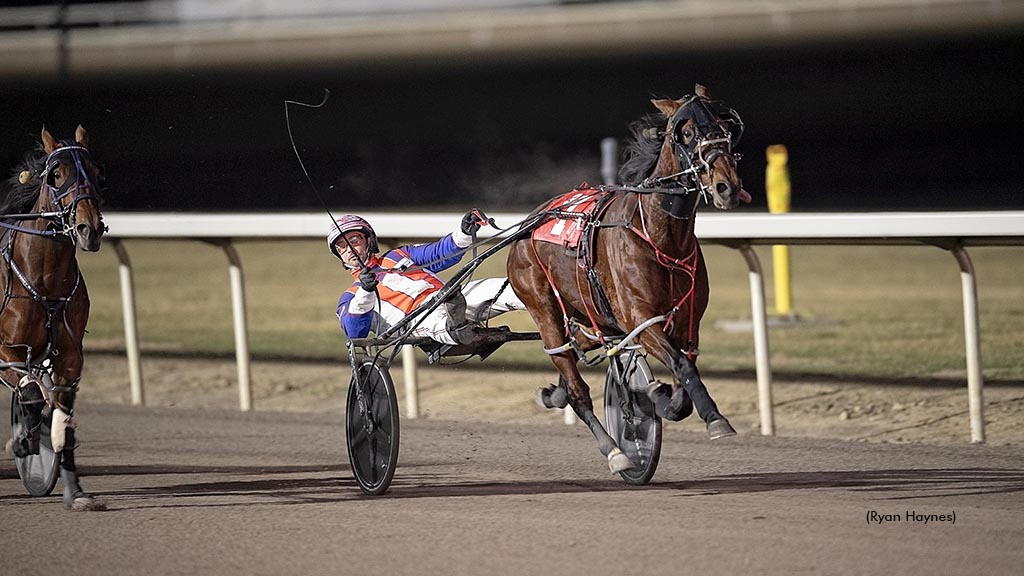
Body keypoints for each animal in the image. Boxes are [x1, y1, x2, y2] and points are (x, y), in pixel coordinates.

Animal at [2, 126, 103, 506]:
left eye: (97, 173)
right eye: (56, 174)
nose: (90, 229)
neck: (43, 280)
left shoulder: (71, 356)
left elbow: (63, 414)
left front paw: (75, 491)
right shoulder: (7, 348)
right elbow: (31, 395)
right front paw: (23, 441)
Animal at [507, 85, 749, 471]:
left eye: (726, 127)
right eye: (686, 132)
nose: (727, 186)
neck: (660, 237)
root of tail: (529, 222)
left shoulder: (689, 321)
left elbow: (684, 376)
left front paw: (659, 396)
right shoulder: (641, 319)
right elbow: (681, 363)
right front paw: (714, 418)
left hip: (594, 317)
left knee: (576, 353)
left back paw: (557, 393)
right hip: (543, 308)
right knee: (575, 384)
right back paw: (615, 451)